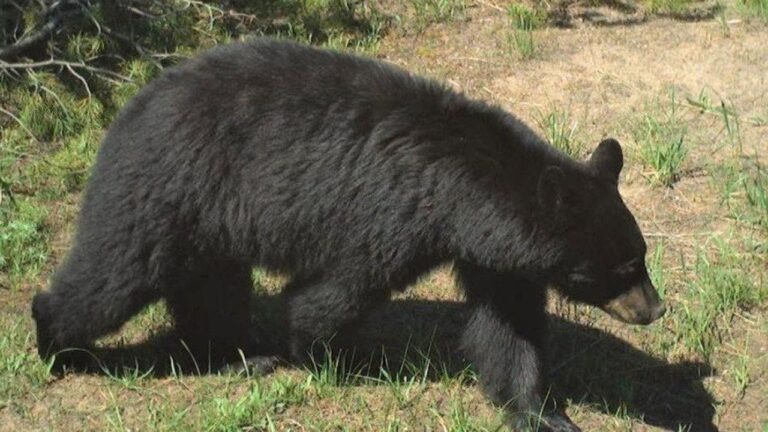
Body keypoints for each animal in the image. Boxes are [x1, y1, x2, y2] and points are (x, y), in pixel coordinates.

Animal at [31, 38, 665, 431]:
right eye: (622, 267)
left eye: (641, 255)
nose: (655, 308)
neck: (462, 192)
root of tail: (133, 103)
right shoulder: (388, 216)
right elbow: (335, 292)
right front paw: (328, 355)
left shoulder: (494, 255)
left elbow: (509, 330)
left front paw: (543, 412)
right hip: (170, 186)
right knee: (115, 274)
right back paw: (56, 344)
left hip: (209, 220)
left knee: (211, 287)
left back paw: (237, 355)